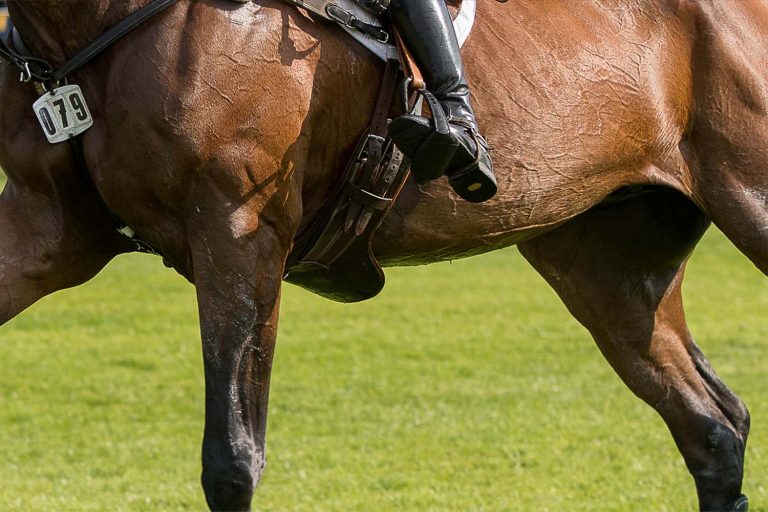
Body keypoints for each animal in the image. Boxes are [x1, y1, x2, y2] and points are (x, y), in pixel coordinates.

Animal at [0, 0, 764, 510]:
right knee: (713, 430)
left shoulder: (237, 235)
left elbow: (232, 460)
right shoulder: (48, 232)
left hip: (748, 201)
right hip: (609, 270)